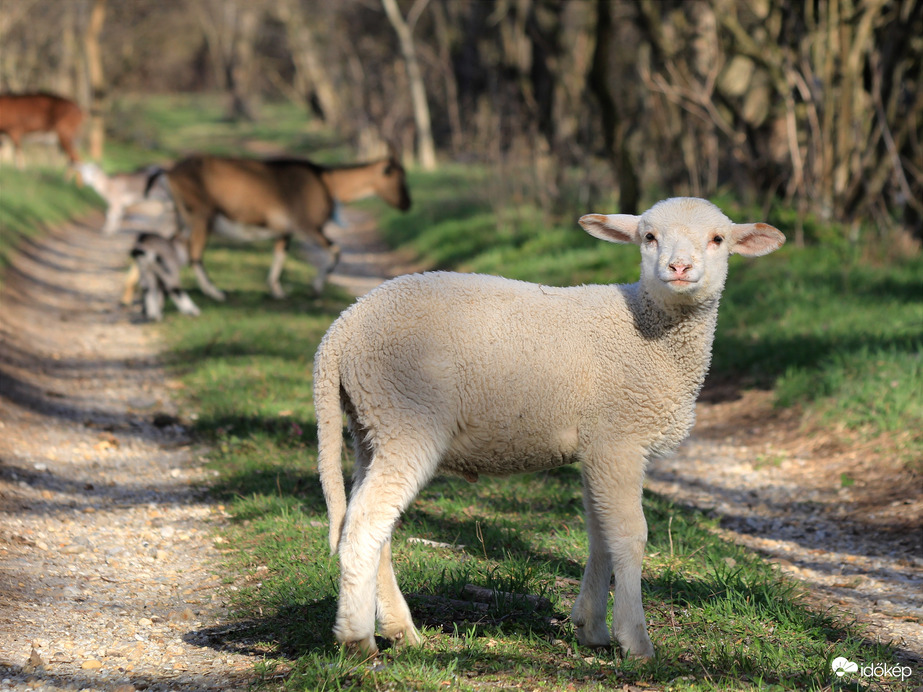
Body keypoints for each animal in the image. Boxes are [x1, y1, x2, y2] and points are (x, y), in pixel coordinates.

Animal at [150, 155, 410, 300]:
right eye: (398, 177)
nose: (407, 204)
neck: (326, 181)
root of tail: (169, 172)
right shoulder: (307, 225)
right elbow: (335, 251)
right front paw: (315, 287)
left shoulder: (285, 231)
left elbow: (280, 256)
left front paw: (277, 292)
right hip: (201, 217)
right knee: (194, 254)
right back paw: (215, 293)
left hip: (182, 218)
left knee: (162, 246)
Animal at [314, 196, 784, 660]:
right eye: (649, 237)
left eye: (718, 239)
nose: (679, 268)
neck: (646, 328)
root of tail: (341, 330)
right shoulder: (619, 440)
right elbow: (630, 536)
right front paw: (635, 640)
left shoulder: (597, 445)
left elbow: (600, 535)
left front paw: (592, 627)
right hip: (407, 414)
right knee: (365, 524)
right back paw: (357, 638)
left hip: (371, 424)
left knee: (373, 524)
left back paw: (399, 630)